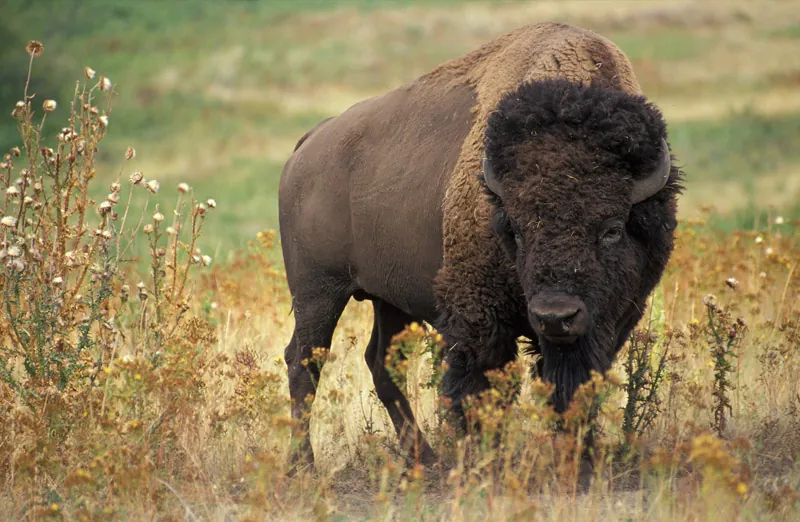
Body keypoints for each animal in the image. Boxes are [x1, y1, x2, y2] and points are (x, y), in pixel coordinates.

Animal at [278, 22, 683, 468]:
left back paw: (424, 460)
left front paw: (580, 460)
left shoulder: (610, 322)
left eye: (612, 229)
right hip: (318, 292)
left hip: (388, 299)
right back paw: (304, 465)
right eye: (516, 230)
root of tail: (310, 143)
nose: (555, 316)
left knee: (381, 363)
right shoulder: (479, 318)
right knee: (304, 362)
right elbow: (480, 389)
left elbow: (575, 389)